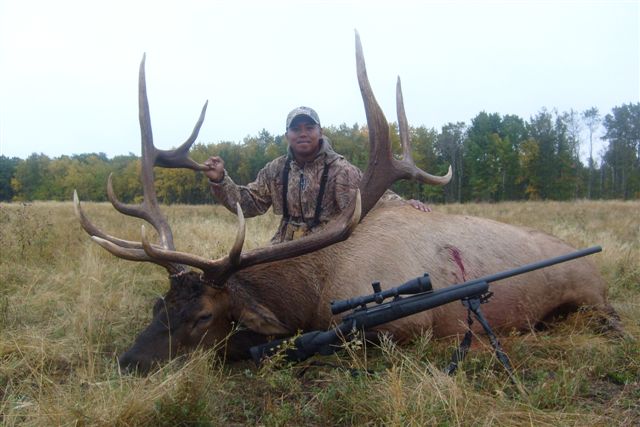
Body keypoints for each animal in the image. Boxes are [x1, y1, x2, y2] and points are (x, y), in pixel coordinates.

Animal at [74, 33, 614, 373]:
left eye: (204, 315)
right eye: (157, 304)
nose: (129, 362)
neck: (314, 293)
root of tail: (599, 268)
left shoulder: (408, 326)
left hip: (591, 299)